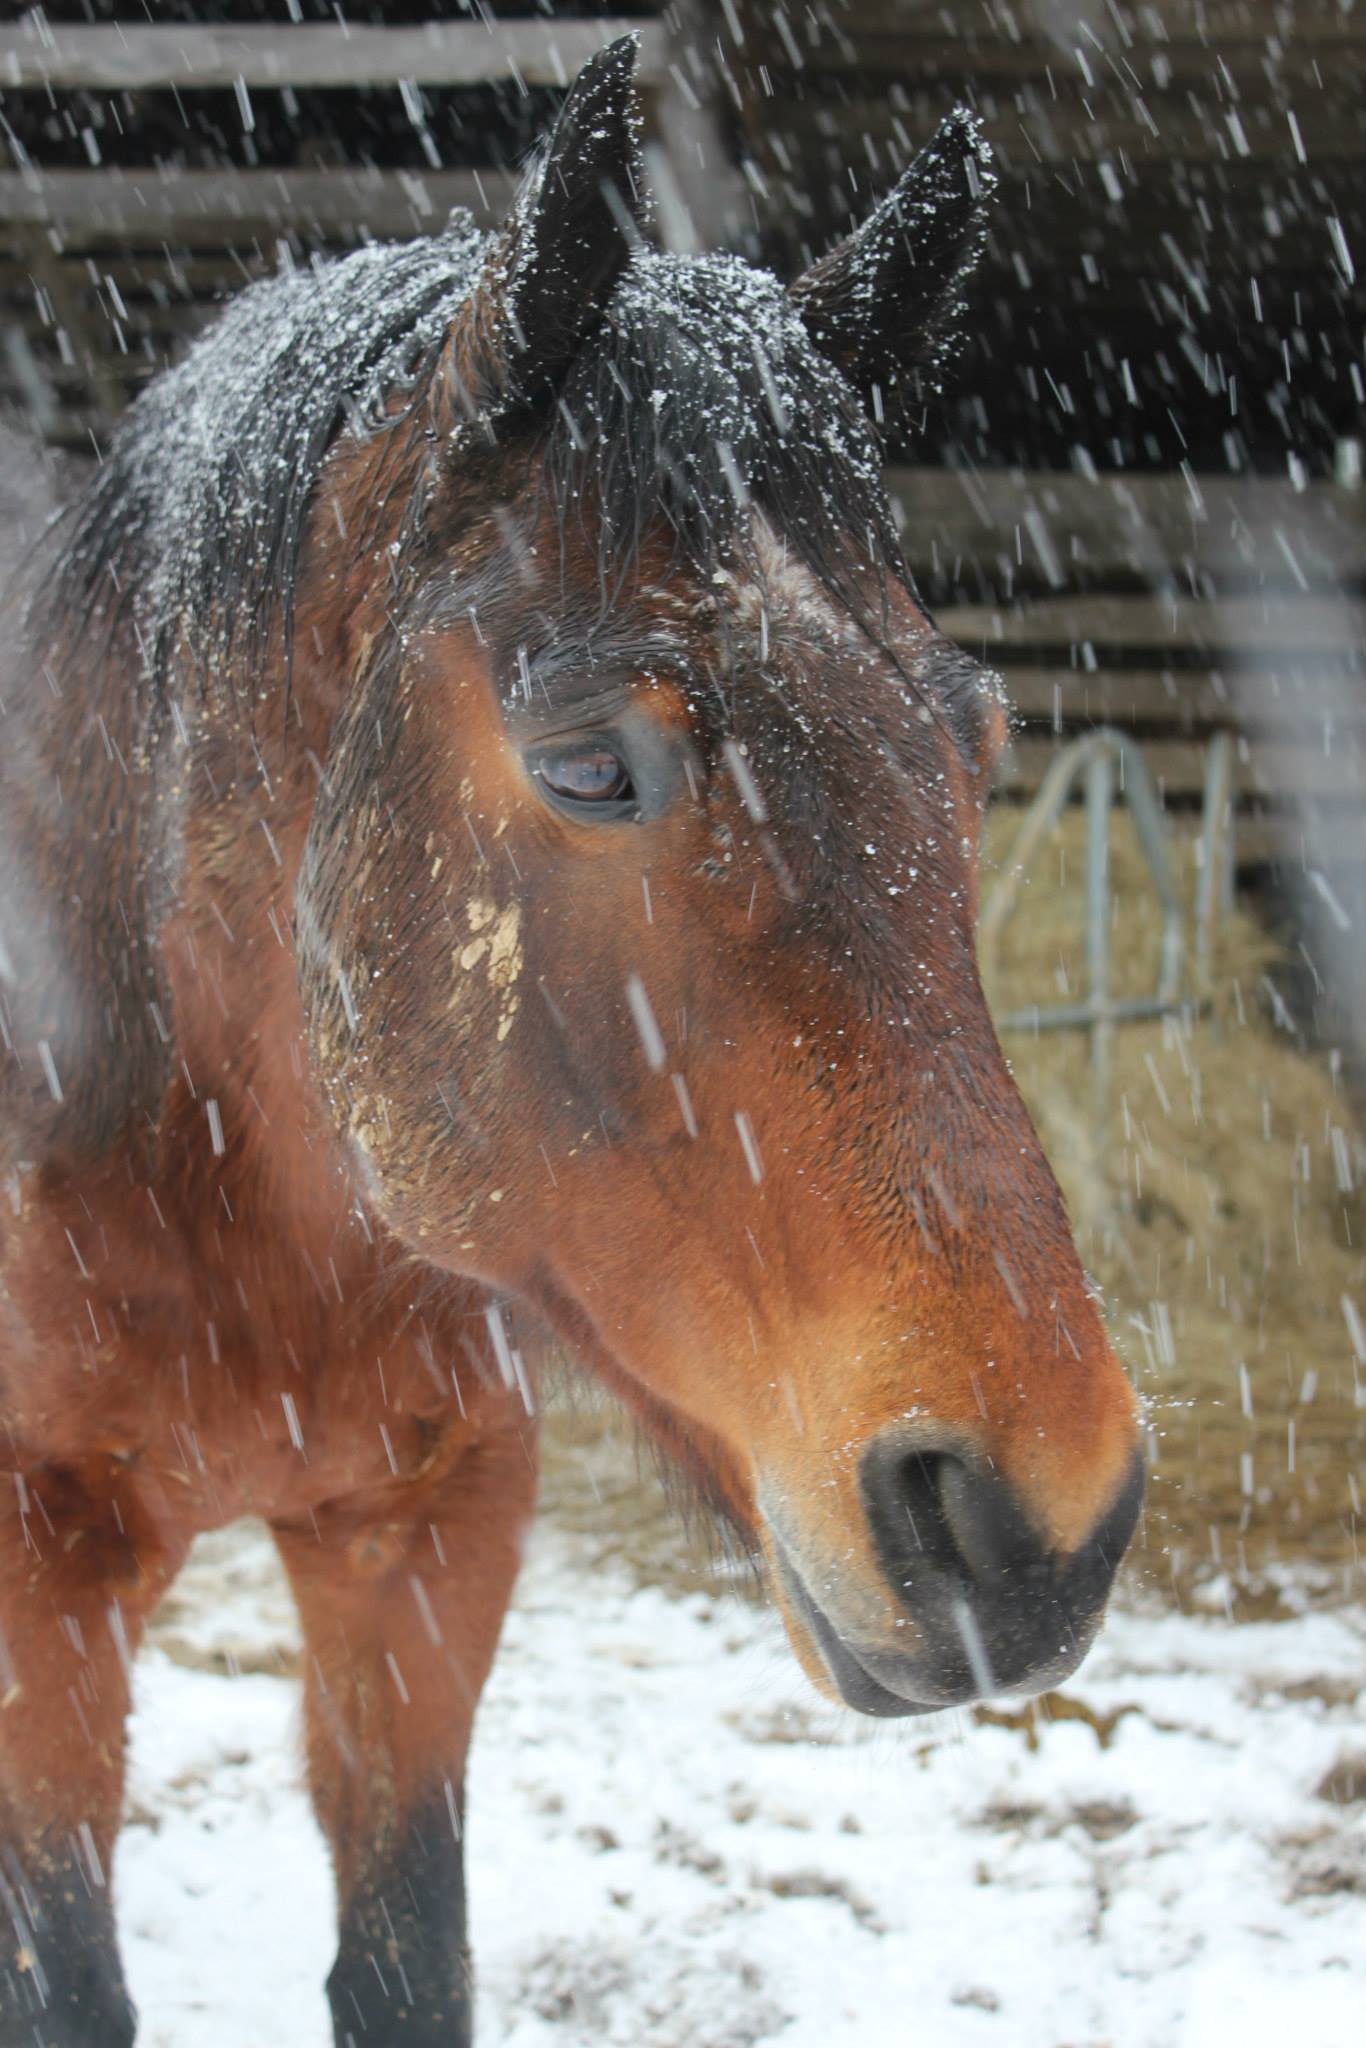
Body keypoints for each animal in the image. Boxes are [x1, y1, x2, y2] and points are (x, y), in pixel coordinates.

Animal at [0, 36, 1146, 2048]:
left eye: (976, 733)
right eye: (587, 764)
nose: (1045, 1519)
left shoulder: (430, 1540)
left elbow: (404, 1956)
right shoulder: (32, 1585)